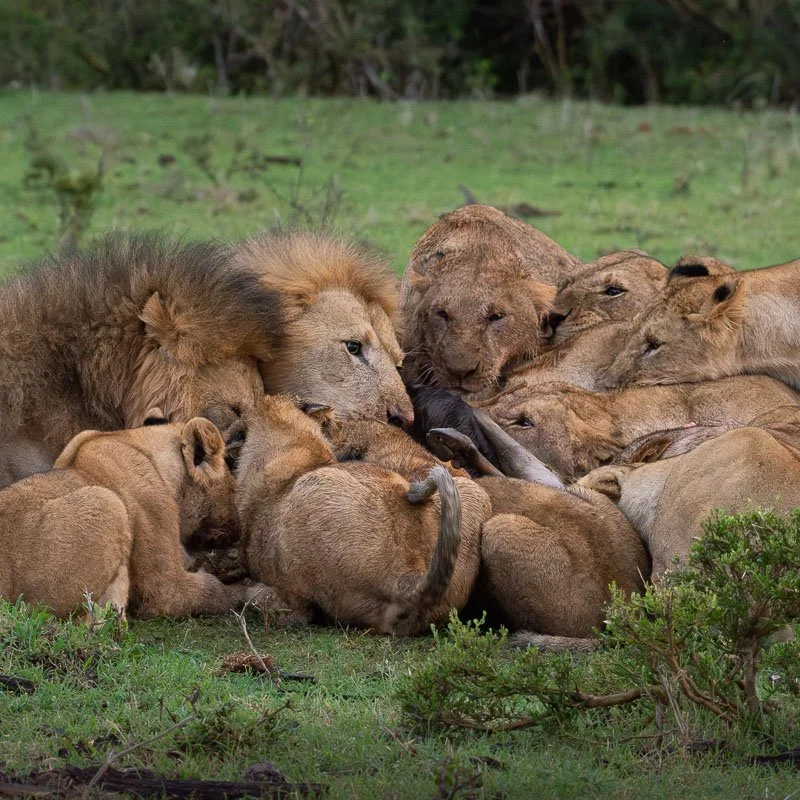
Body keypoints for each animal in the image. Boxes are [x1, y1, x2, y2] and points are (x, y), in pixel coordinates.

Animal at [0, 415, 264, 618]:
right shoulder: (164, 589)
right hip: (107, 502)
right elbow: (209, 590)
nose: (239, 531)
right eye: (234, 489)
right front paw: (248, 589)